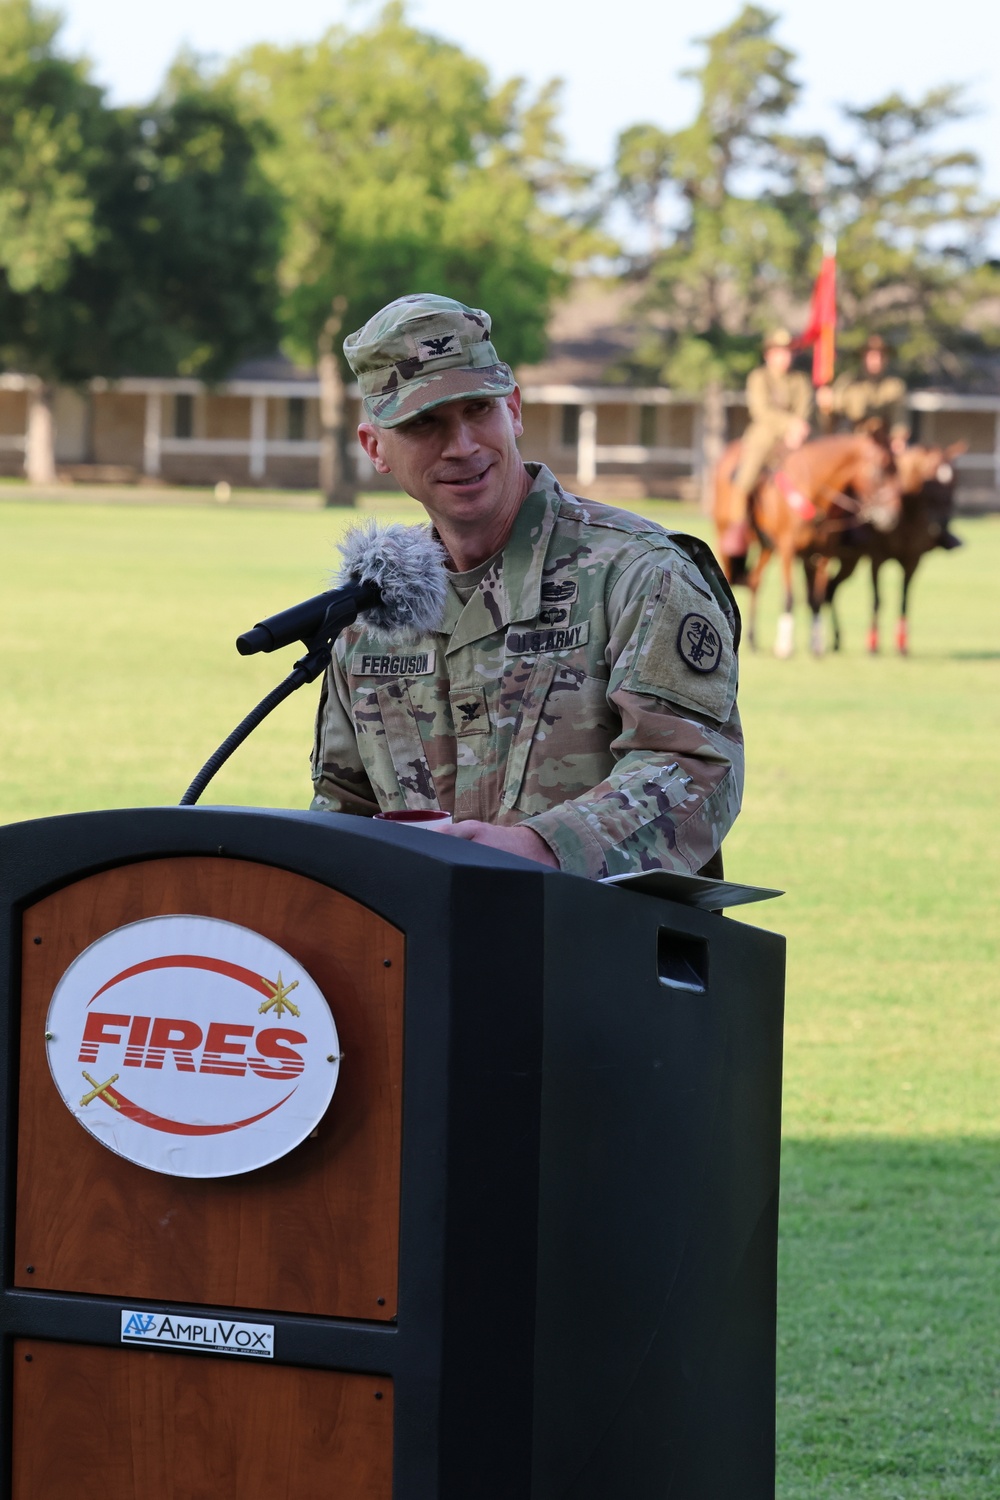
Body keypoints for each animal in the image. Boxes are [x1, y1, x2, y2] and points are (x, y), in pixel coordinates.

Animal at [716, 429, 905, 651]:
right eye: (880, 469)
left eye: (896, 469)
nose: (892, 517)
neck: (813, 489)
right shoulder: (787, 550)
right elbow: (790, 597)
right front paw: (785, 645)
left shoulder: (823, 553)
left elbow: (816, 599)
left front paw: (816, 644)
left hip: (767, 547)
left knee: (755, 581)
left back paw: (752, 638)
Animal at [821, 444, 971, 657]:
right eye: (930, 480)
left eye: (955, 479)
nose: (943, 522)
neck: (906, 516)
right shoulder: (877, 559)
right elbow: (877, 599)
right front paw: (873, 645)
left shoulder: (912, 561)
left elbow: (904, 599)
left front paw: (902, 645)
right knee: (824, 589)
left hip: (850, 561)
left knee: (830, 590)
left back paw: (836, 639)